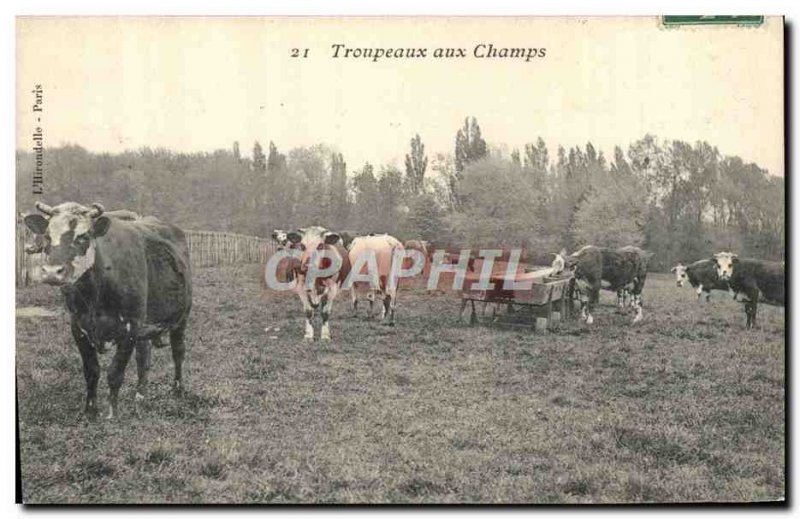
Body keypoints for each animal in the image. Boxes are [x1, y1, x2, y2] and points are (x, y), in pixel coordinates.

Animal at [23, 201, 192, 420]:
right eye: (47, 236)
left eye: (83, 236)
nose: (52, 272)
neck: (94, 297)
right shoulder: (78, 326)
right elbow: (91, 371)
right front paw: (90, 411)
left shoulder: (130, 326)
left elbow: (115, 373)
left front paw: (112, 413)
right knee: (143, 358)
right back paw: (140, 395)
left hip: (181, 317)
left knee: (178, 352)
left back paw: (177, 390)